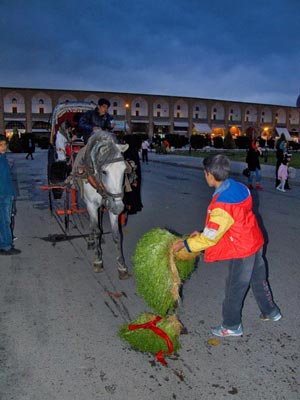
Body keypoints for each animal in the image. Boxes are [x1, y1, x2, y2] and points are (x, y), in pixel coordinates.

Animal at [72, 130, 132, 280]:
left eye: (124, 170)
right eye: (104, 171)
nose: (119, 208)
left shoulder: (111, 204)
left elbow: (117, 235)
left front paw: (121, 266)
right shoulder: (92, 205)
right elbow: (97, 229)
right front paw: (98, 260)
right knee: (93, 223)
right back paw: (91, 240)